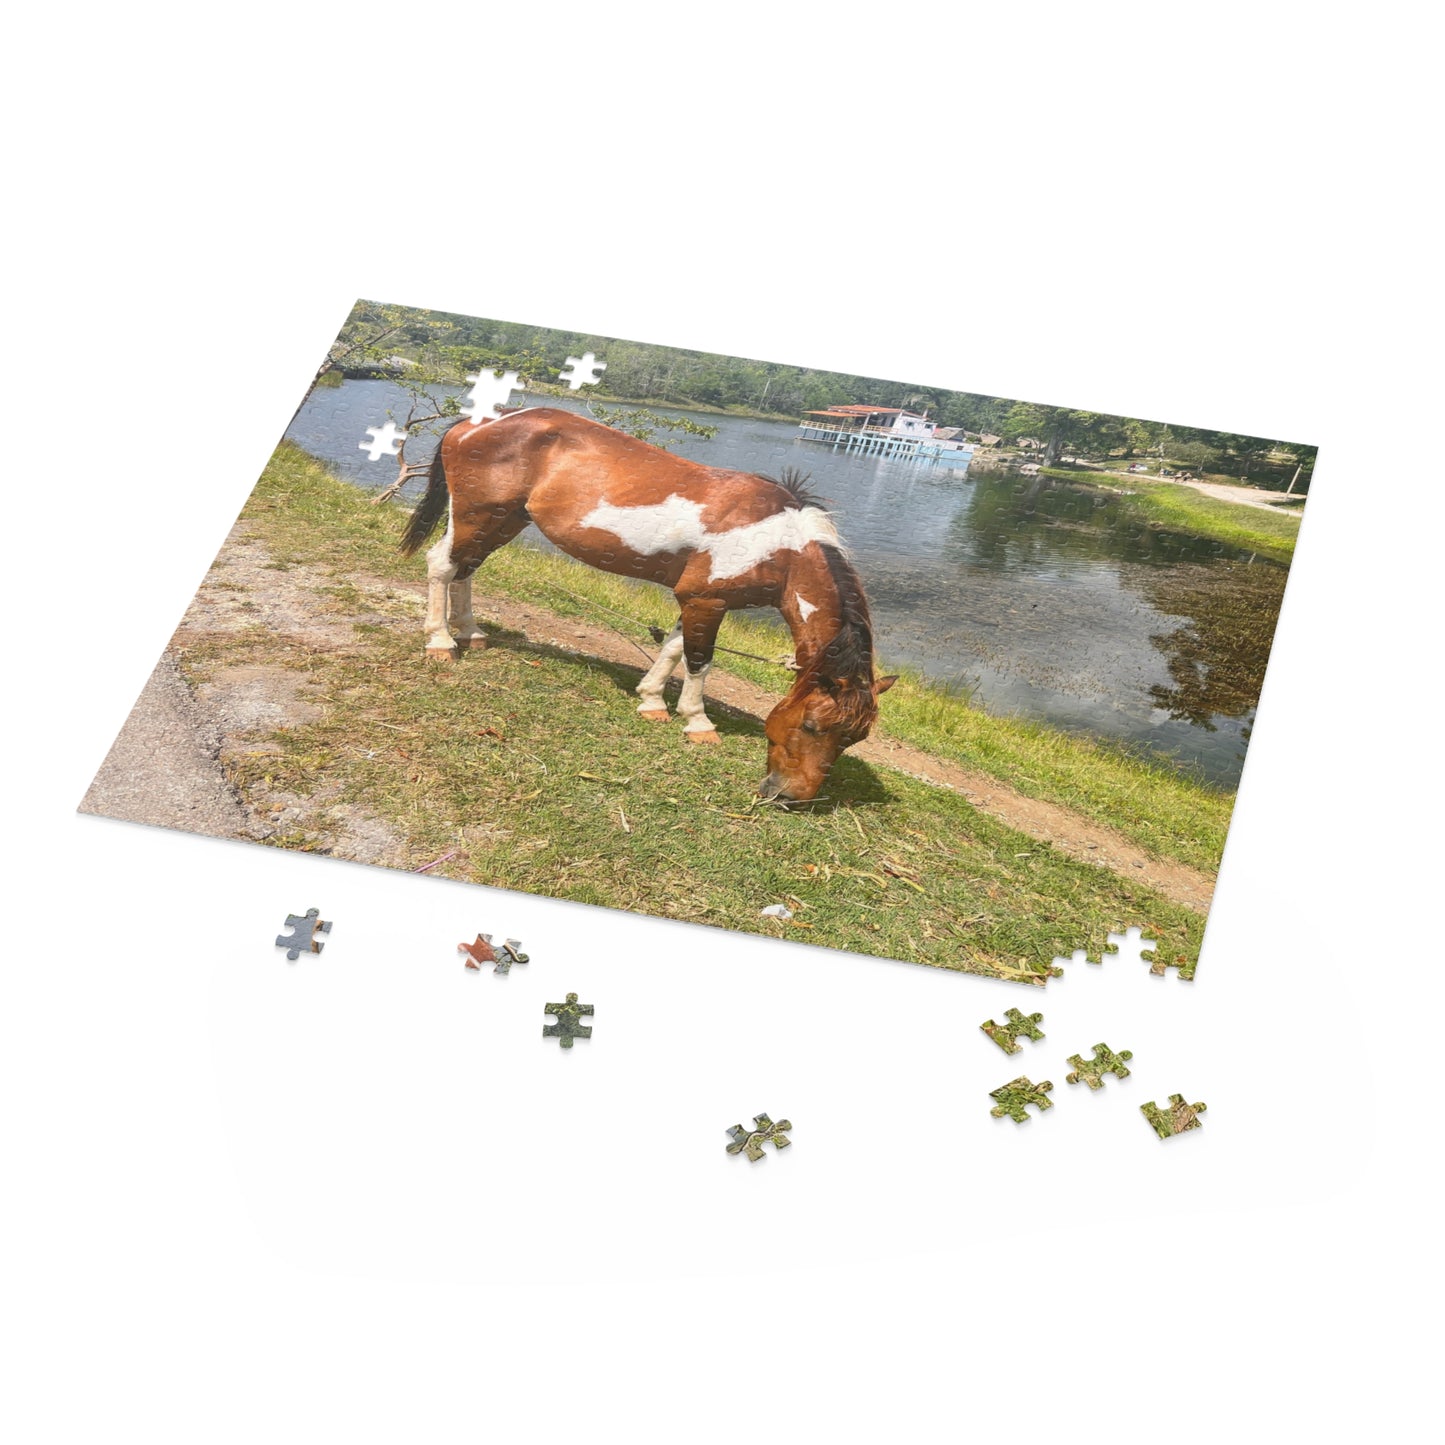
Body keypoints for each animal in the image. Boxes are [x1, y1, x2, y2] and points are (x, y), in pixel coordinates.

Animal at [398, 407, 896, 802]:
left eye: (852, 740)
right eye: (812, 726)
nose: (791, 797)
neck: (778, 542)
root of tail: (478, 421)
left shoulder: (694, 600)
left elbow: (673, 647)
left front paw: (652, 700)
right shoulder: (707, 600)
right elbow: (698, 660)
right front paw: (697, 723)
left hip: (503, 521)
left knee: (465, 569)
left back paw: (471, 632)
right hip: (477, 514)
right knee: (442, 566)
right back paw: (441, 642)